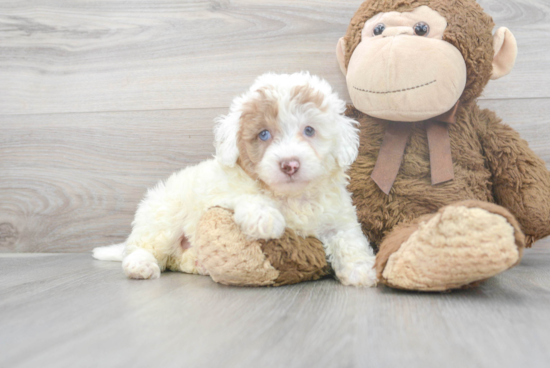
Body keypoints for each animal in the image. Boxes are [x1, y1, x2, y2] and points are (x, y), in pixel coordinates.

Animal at [95, 71, 380, 284]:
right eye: (264, 134)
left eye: (309, 130)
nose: (289, 164)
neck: (291, 196)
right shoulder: (220, 189)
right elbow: (246, 194)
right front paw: (265, 218)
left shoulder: (338, 215)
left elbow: (348, 237)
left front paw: (361, 269)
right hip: (163, 216)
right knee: (142, 246)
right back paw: (140, 265)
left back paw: (198, 262)